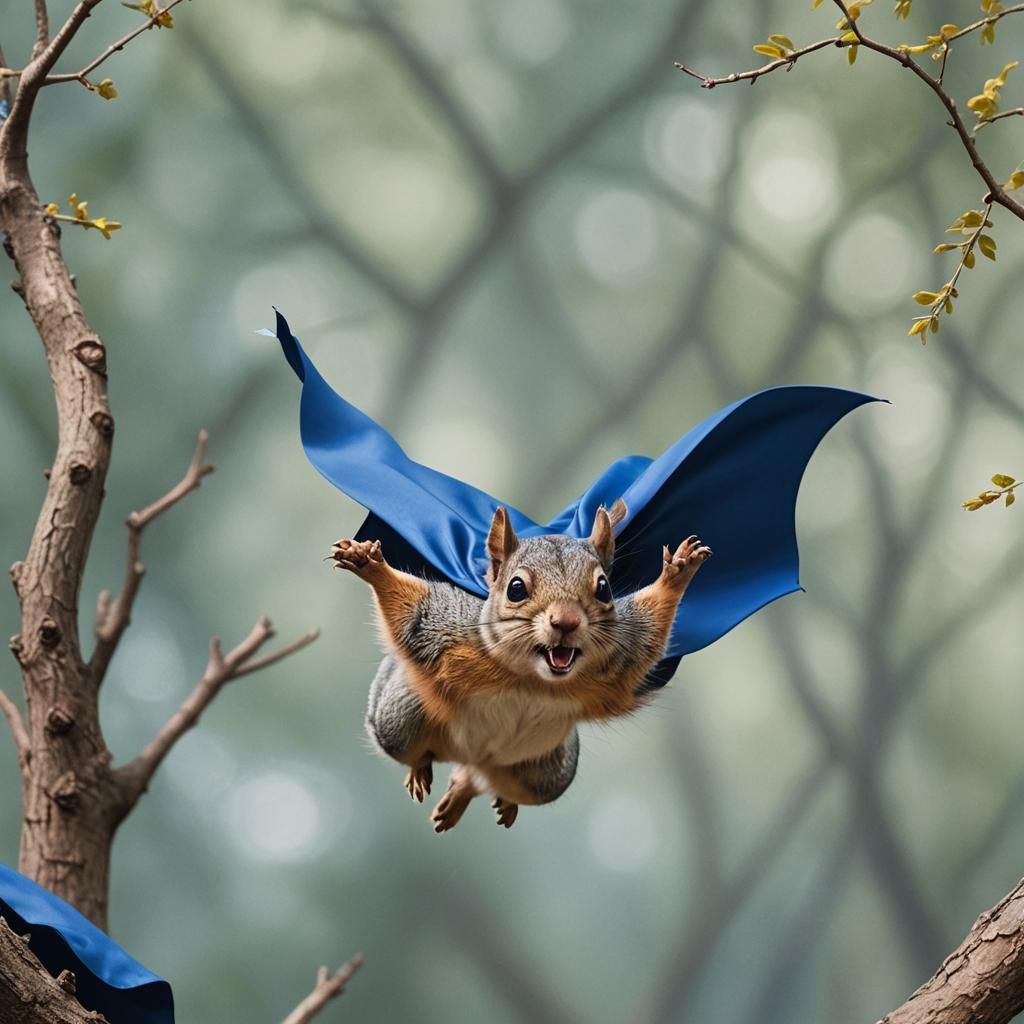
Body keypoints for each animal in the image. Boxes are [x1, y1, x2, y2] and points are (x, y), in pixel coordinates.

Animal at [330, 500, 711, 832]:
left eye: (604, 588)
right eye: (516, 588)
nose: (566, 621)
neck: (530, 678)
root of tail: (471, 757)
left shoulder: (622, 651)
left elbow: (649, 628)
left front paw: (678, 573)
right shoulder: (448, 630)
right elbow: (414, 611)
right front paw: (370, 565)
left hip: (545, 775)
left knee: (477, 781)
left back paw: (473, 797)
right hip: (400, 720)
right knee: (415, 751)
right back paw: (420, 771)